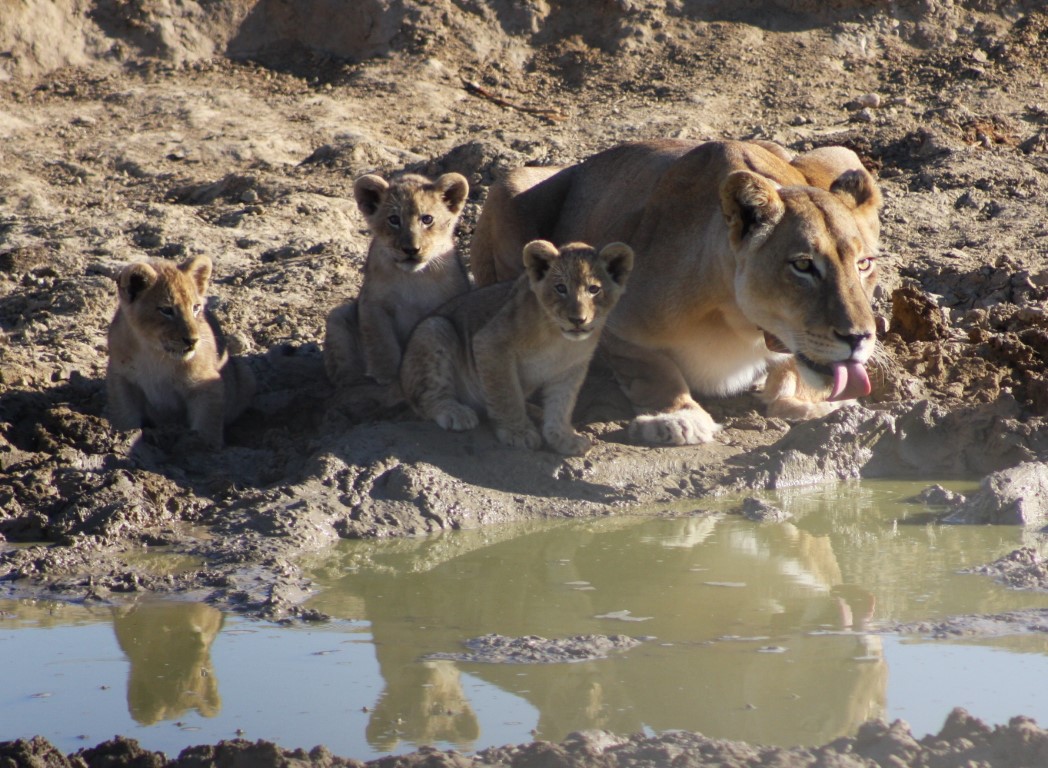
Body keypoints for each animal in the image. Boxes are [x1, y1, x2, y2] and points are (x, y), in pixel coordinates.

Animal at [106, 254, 255, 448]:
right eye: (166, 310)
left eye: (196, 307)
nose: (192, 341)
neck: (155, 353)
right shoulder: (121, 376)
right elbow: (125, 414)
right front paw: (125, 435)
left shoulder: (206, 383)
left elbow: (208, 422)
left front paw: (201, 444)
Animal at [323, 171, 471, 392]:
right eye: (394, 219)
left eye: (427, 219)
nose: (411, 249)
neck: (413, 277)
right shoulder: (373, 304)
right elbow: (381, 340)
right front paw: (387, 375)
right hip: (337, 318)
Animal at [400, 240, 634, 456]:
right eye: (561, 288)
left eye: (594, 289)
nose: (577, 320)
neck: (561, 341)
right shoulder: (490, 343)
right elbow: (507, 393)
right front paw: (518, 432)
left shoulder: (571, 368)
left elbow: (561, 404)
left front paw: (563, 437)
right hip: (434, 328)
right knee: (424, 399)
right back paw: (456, 412)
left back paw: (535, 411)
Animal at [470, 139, 882, 445]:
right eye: (803, 266)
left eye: (864, 264)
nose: (859, 338)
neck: (742, 322)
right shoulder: (613, 322)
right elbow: (655, 370)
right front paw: (677, 420)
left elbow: (792, 371)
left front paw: (802, 403)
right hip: (511, 181)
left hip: (842, 153)